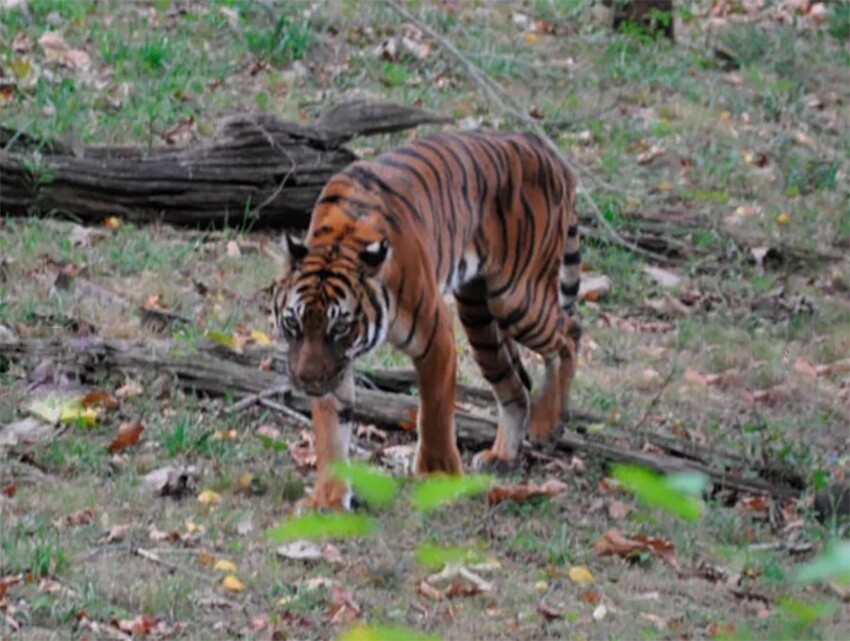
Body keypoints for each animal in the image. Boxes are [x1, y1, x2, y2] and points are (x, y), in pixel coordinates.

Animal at [274, 131, 580, 510]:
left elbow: (434, 410)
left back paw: (547, 424)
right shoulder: (335, 366)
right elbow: (332, 429)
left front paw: (438, 475)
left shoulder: (436, 334)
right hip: (478, 315)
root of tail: (539, 144)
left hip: (517, 298)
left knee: (569, 334)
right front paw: (327, 502)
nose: (306, 380)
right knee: (515, 387)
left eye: (340, 328)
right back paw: (502, 456)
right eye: (294, 324)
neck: (341, 238)